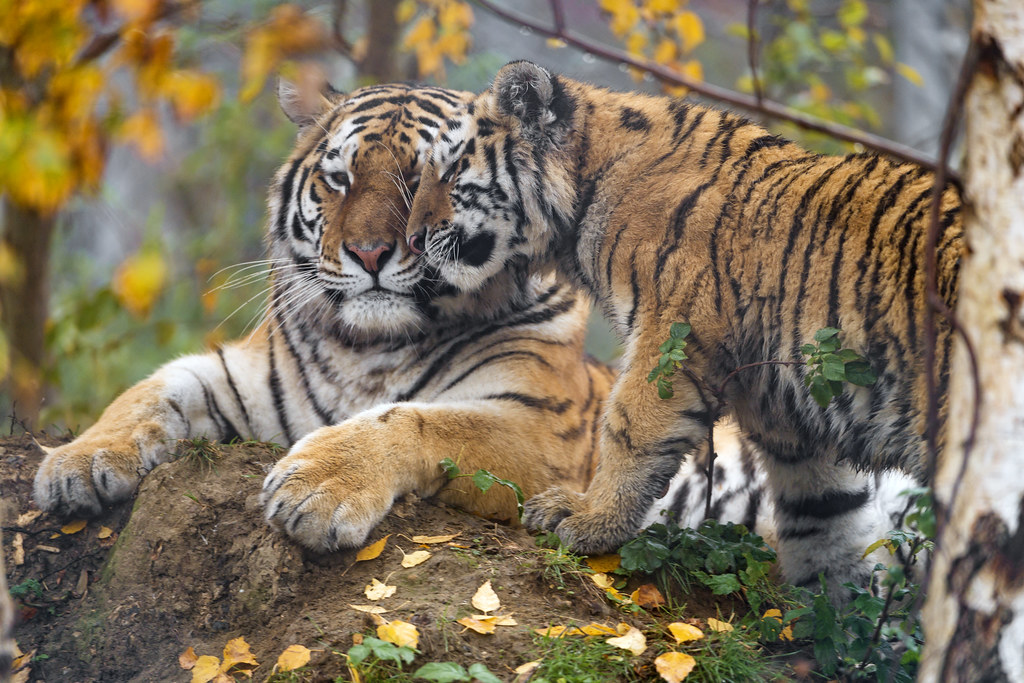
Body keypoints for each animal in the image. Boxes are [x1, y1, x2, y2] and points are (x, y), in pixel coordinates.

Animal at [403, 61, 954, 593]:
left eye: (450, 171)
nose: (410, 239)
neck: (590, 184)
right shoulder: (788, 418)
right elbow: (828, 526)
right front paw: (836, 610)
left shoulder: (673, 335)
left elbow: (629, 428)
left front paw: (588, 520)